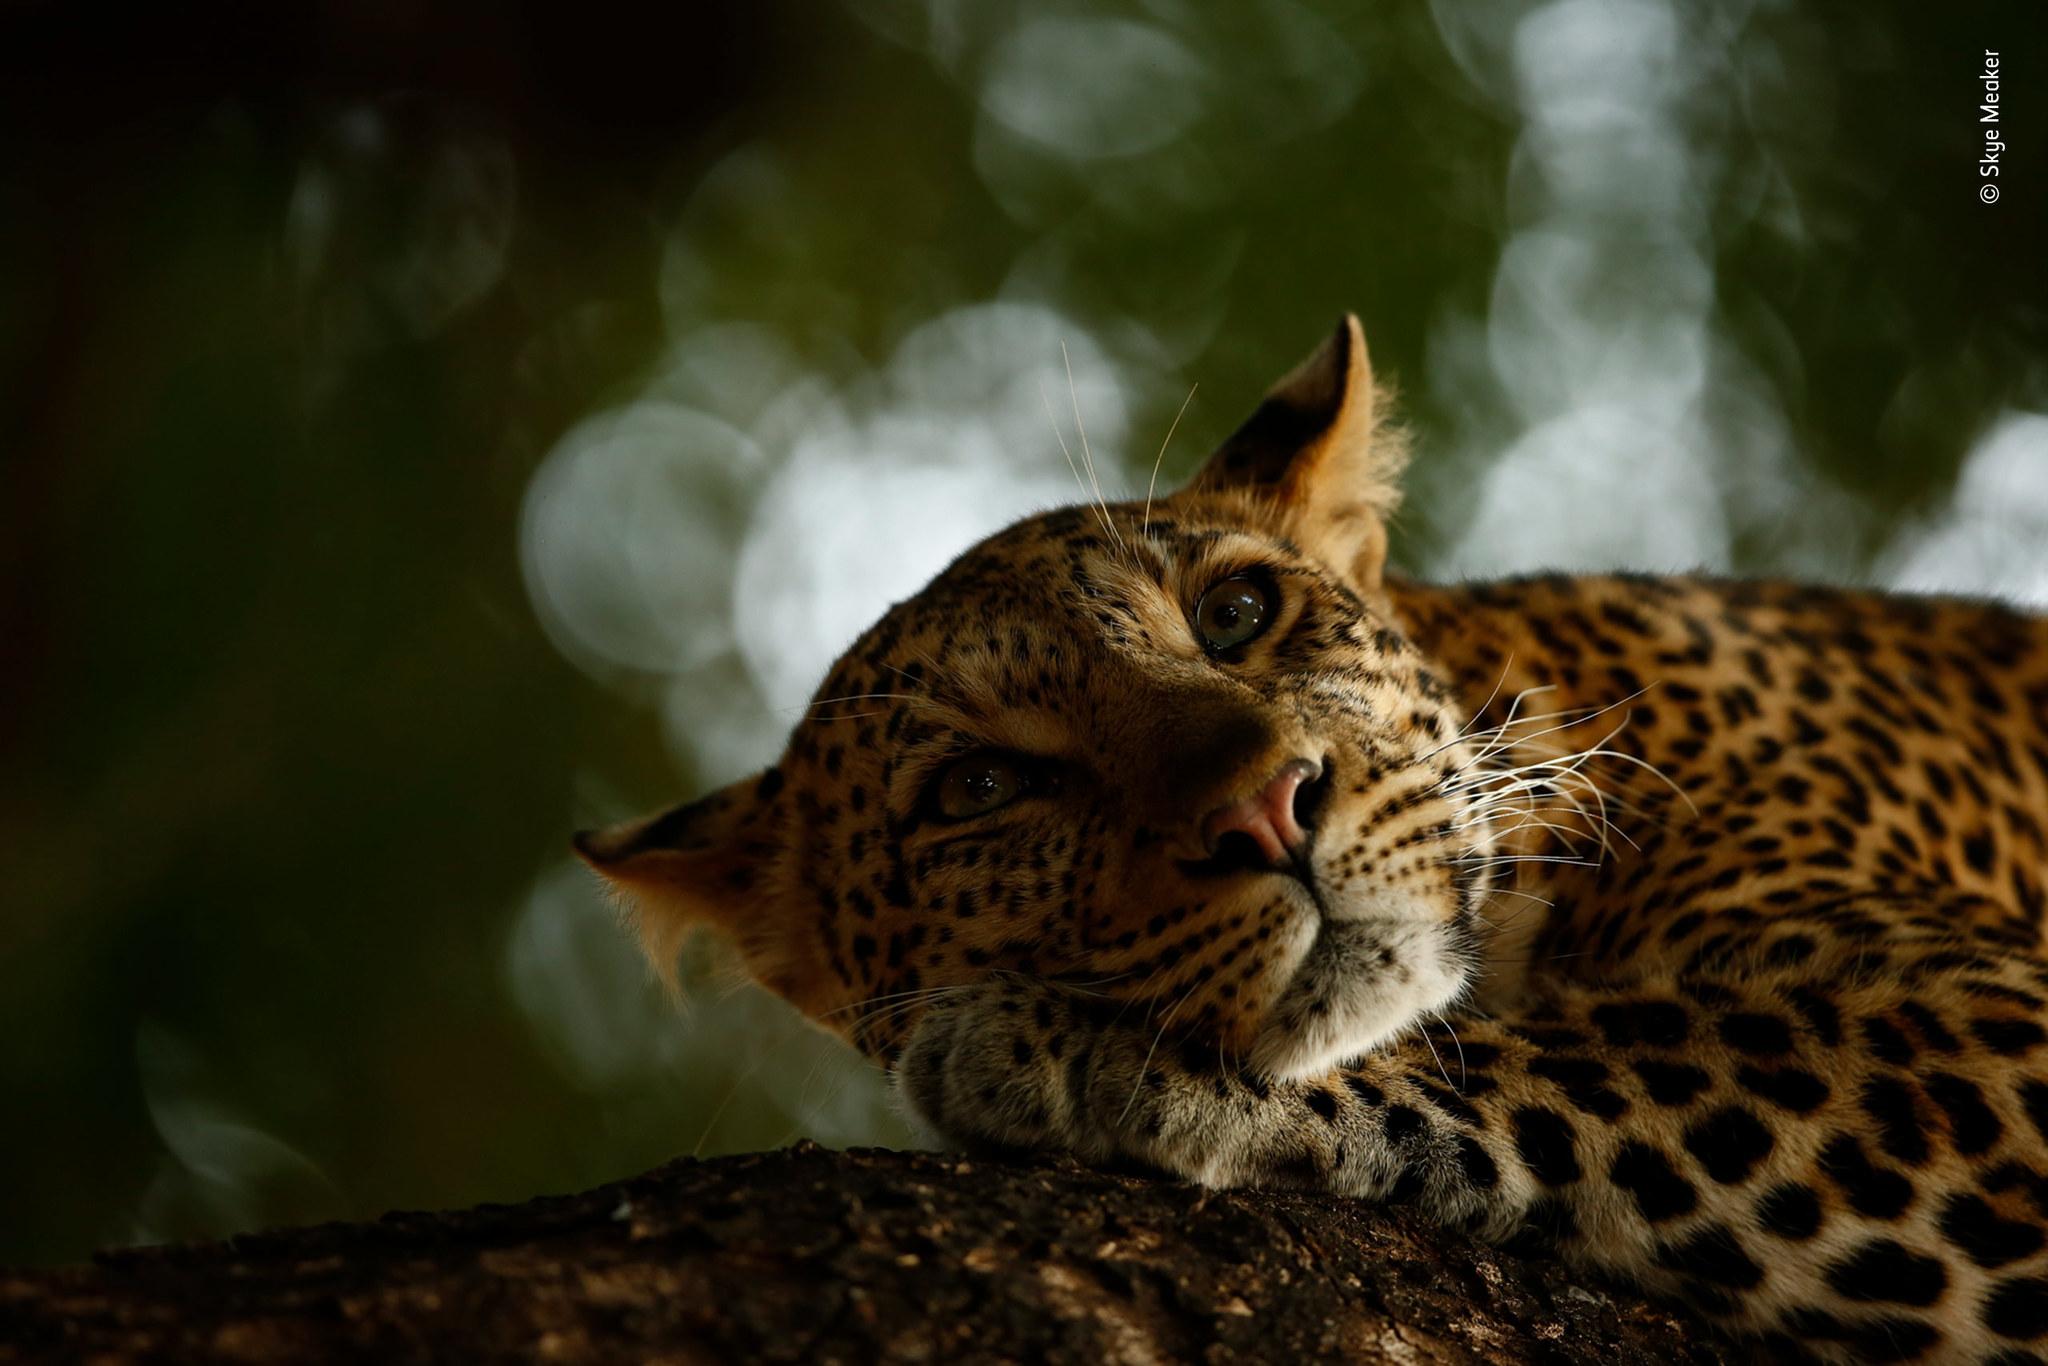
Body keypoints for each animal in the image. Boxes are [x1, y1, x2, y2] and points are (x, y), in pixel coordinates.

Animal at [576, 316, 2048, 1362]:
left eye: (1234, 612)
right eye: (980, 788)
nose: (1265, 809)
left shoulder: (1993, 1022)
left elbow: (1622, 1046)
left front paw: (1072, 1051)